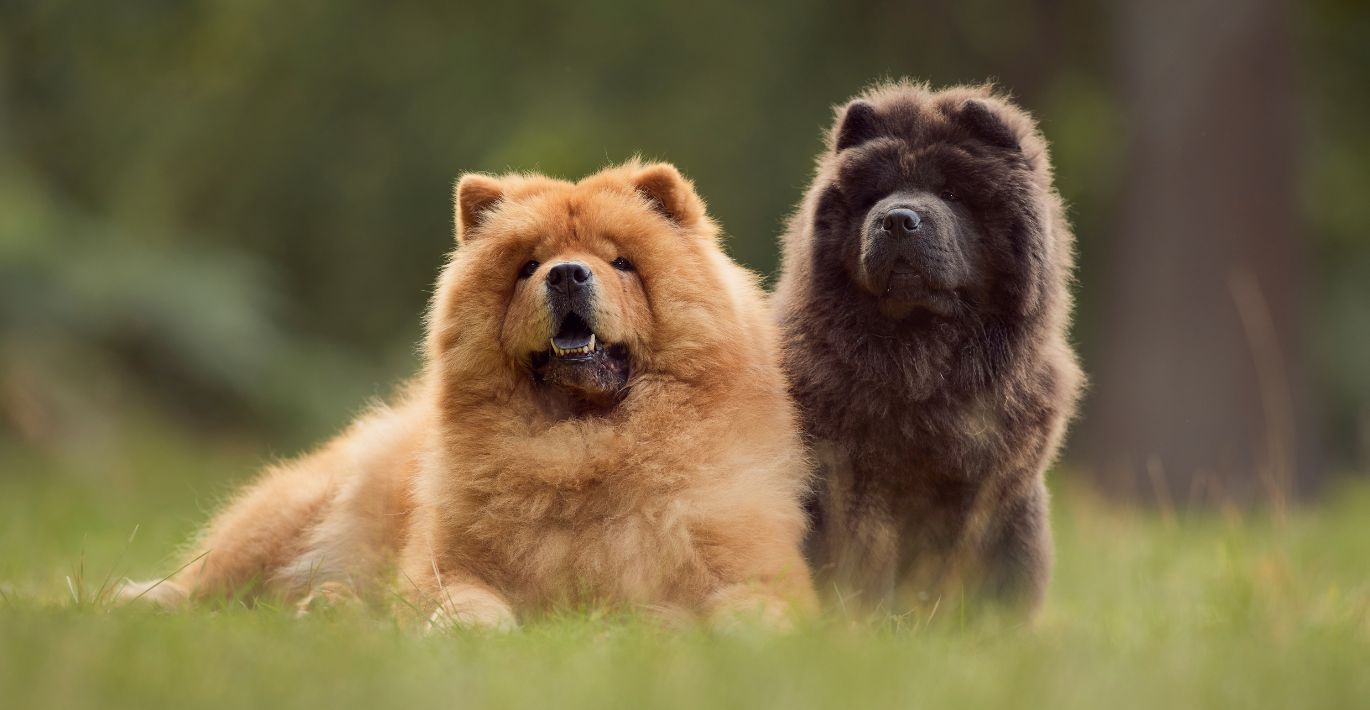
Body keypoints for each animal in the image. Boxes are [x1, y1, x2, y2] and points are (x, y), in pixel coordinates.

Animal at [126, 160, 811, 630]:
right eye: (529, 266)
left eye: (622, 263)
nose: (567, 273)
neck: (583, 445)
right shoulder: (445, 565)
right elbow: (464, 599)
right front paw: (467, 632)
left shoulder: (756, 564)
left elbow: (750, 608)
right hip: (287, 518)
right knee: (207, 582)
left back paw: (328, 606)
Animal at [778, 82, 1085, 616]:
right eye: (875, 196)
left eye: (951, 193)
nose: (897, 220)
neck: (923, 368)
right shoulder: (853, 488)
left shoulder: (992, 493)